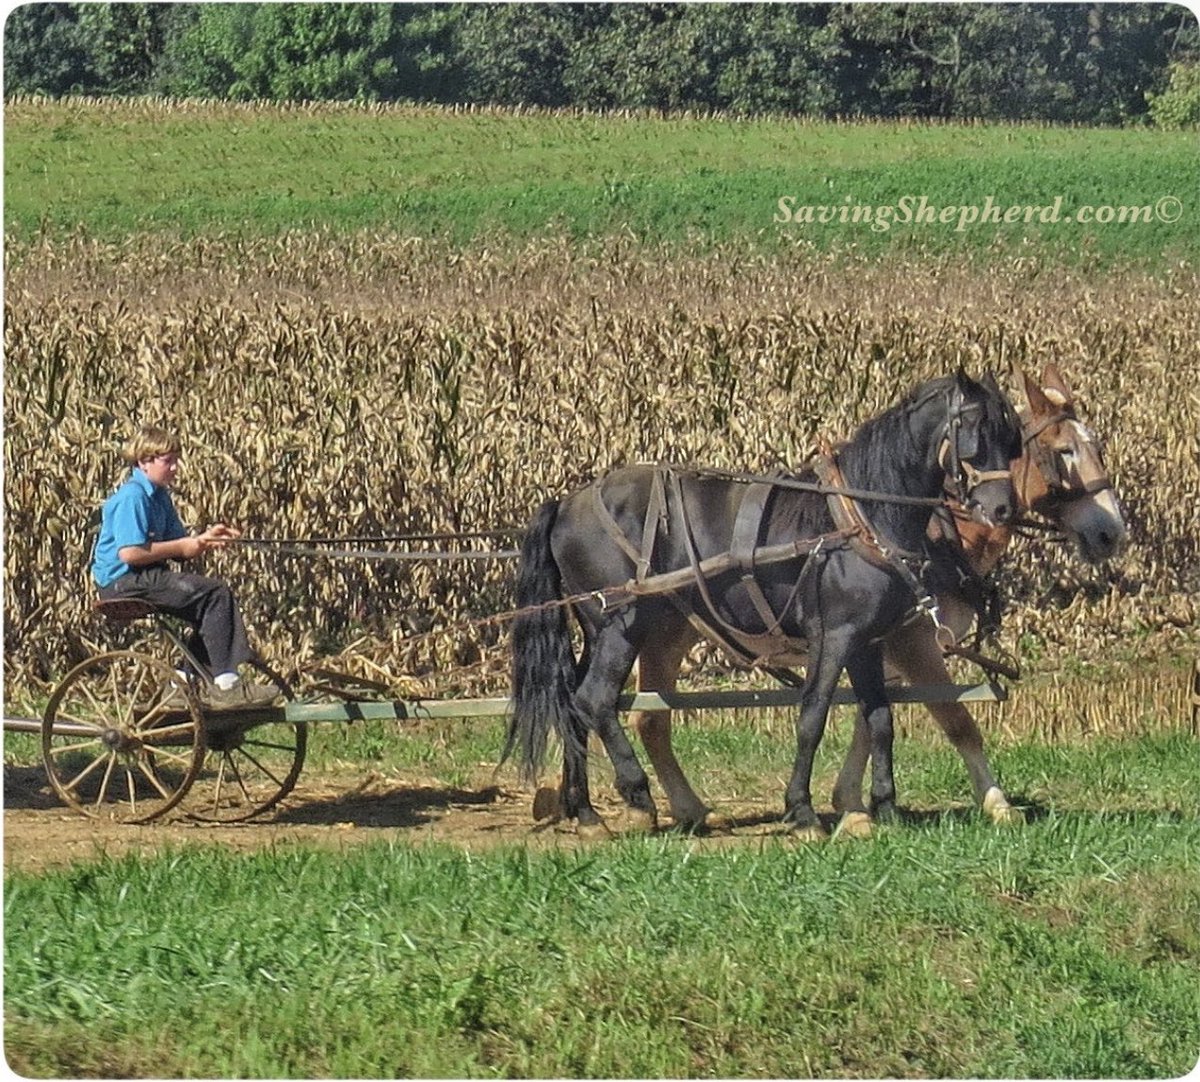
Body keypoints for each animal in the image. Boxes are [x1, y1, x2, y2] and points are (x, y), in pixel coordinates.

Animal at [504, 370, 1025, 839]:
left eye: (1012, 437)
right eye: (975, 428)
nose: (1003, 510)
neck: (861, 516)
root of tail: (566, 503)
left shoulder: (868, 641)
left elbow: (880, 719)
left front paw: (885, 809)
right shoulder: (833, 636)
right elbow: (812, 715)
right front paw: (803, 812)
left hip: (601, 629)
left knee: (573, 703)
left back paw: (588, 814)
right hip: (619, 626)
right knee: (594, 700)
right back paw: (637, 796)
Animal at [620, 364, 1126, 834]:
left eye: (1099, 446)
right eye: (1061, 452)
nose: (1111, 532)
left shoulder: (879, 642)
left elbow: (873, 718)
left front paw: (853, 803)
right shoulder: (910, 643)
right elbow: (954, 718)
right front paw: (996, 801)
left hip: (669, 634)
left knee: (649, 717)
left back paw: (684, 807)